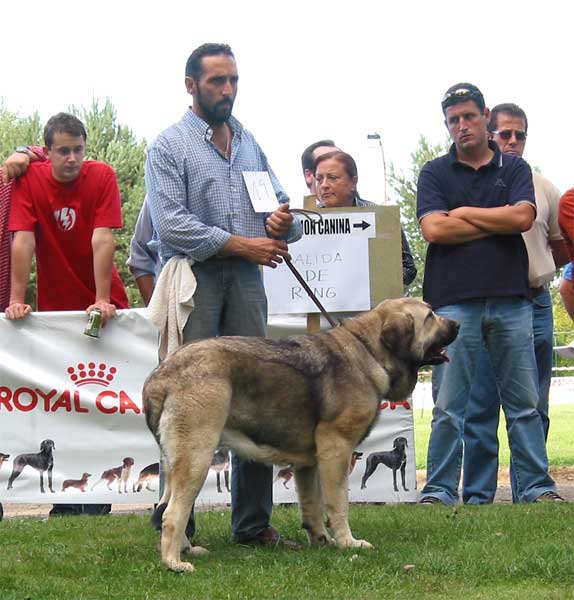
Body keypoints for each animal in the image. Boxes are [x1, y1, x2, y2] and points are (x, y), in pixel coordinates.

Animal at [144, 296, 460, 572]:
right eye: (430, 317)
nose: (456, 324)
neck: (369, 350)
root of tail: (161, 375)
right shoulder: (336, 450)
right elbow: (338, 502)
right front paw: (348, 542)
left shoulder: (309, 464)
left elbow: (312, 505)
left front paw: (321, 540)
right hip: (196, 456)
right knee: (173, 513)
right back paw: (174, 563)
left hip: (177, 462)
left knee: (165, 507)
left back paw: (185, 549)